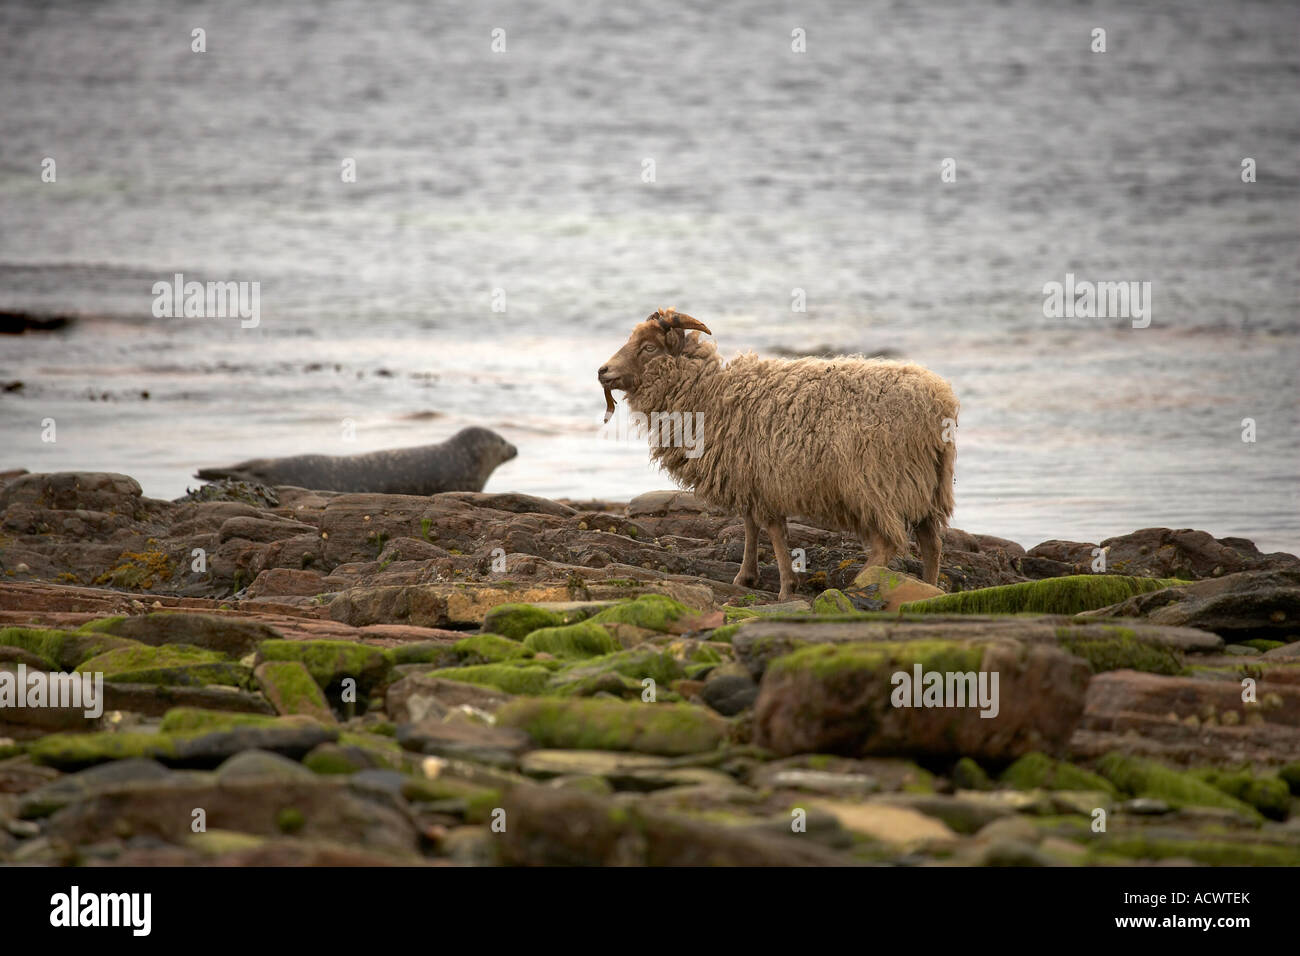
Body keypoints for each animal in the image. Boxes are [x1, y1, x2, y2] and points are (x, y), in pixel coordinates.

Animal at [595, 310, 956, 600]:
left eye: (648, 348)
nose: (602, 371)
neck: (710, 394)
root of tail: (941, 403)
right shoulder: (749, 477)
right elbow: (750, 525)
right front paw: (746, 576)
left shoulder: (763, 478)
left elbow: (773, 532)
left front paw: (785, 587)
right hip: (924, 481)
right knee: (932, 543)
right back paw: (929, 588)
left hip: (878, 481)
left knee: (888, 543)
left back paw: (861, 582)